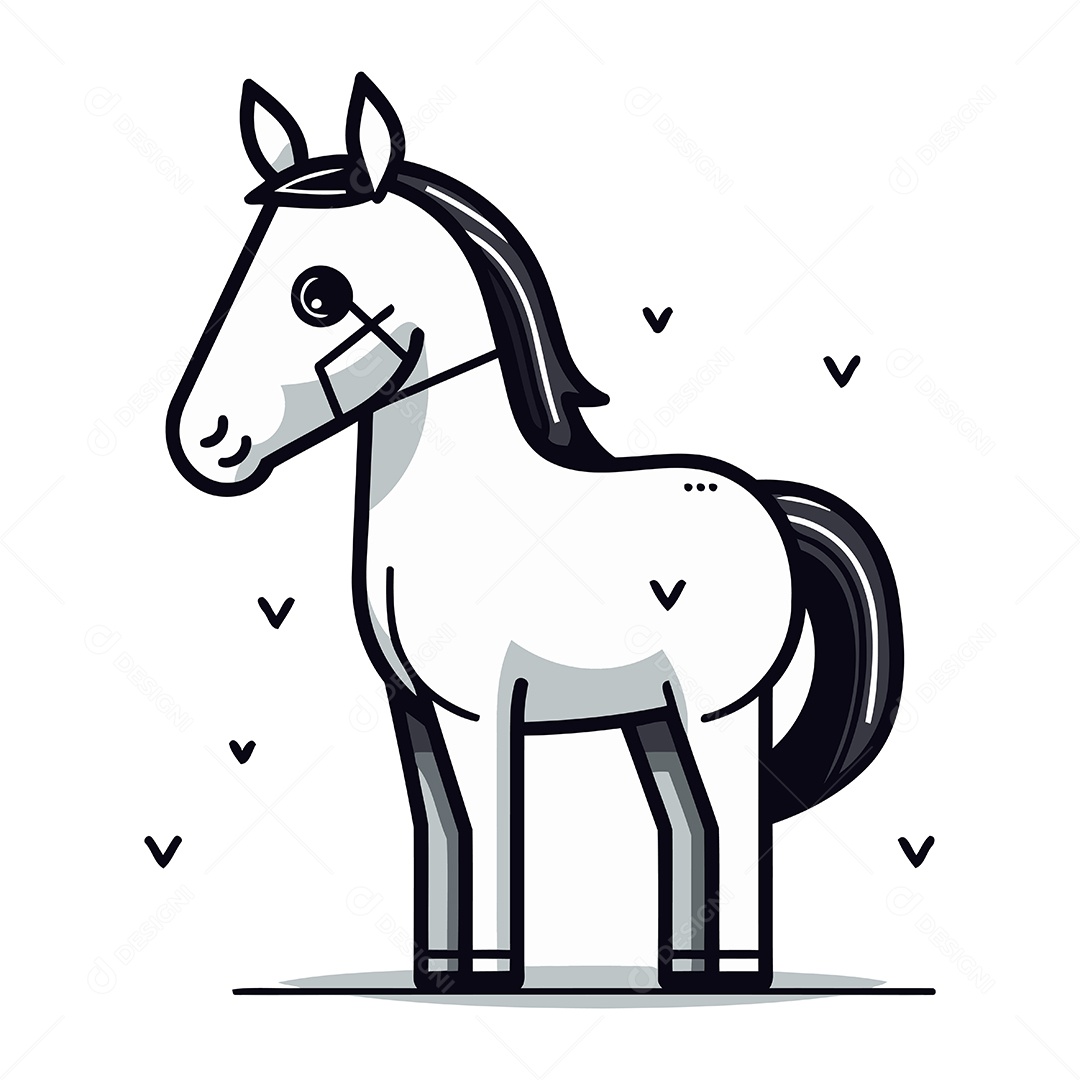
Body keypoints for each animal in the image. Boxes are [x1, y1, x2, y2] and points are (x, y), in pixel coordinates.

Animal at [166, 73, 903, 993]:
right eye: (242, 265)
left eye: (319, 294)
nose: (205, 439)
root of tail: (770, 504)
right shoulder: (416, 710)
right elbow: (444, 828)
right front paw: (443, 970)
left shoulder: (485, 708)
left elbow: (490, 825)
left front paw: (486, 970)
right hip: (655, 720)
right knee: (687, 820)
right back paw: (685, 965)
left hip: (718, 713)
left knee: (730, 818)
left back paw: (727, 972)